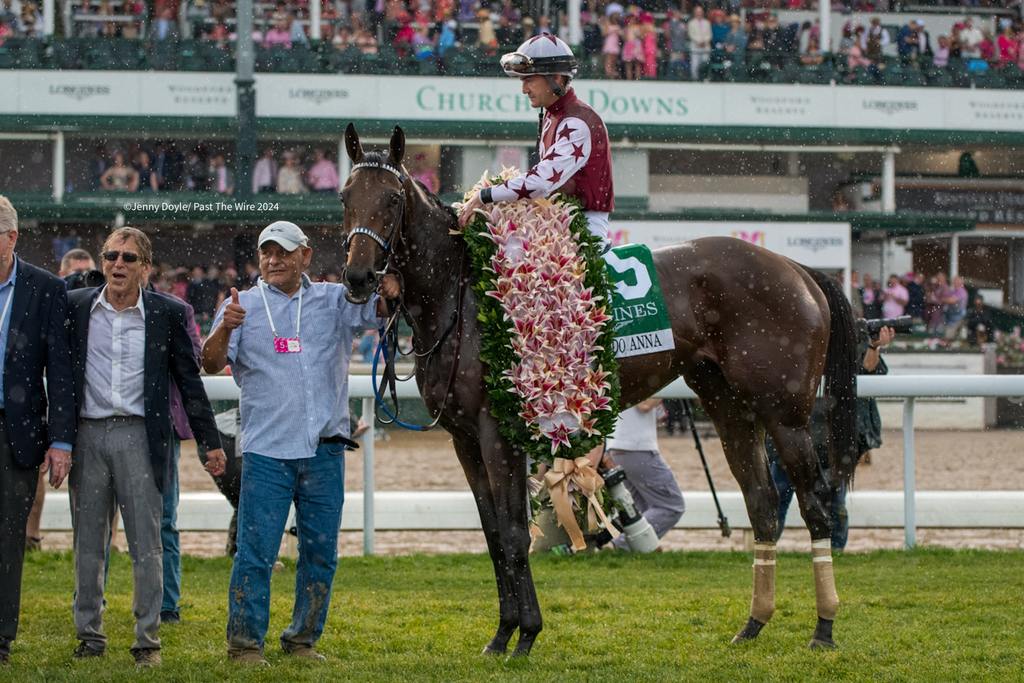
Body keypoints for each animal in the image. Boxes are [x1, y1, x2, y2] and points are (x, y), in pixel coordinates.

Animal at [339, 124, 860, 655]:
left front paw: (524, 634)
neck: (463, 296)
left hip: (786, 416)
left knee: (817, 504)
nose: (358, 277)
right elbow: (492, 535)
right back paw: (754, 623)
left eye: (393, 199)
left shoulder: (497, 431)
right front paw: (502, 634)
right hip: (730, 409)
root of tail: (795, 269)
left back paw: (824, 627)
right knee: (763, 505)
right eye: (345, 197)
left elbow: (513, 532)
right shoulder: (463, 437)